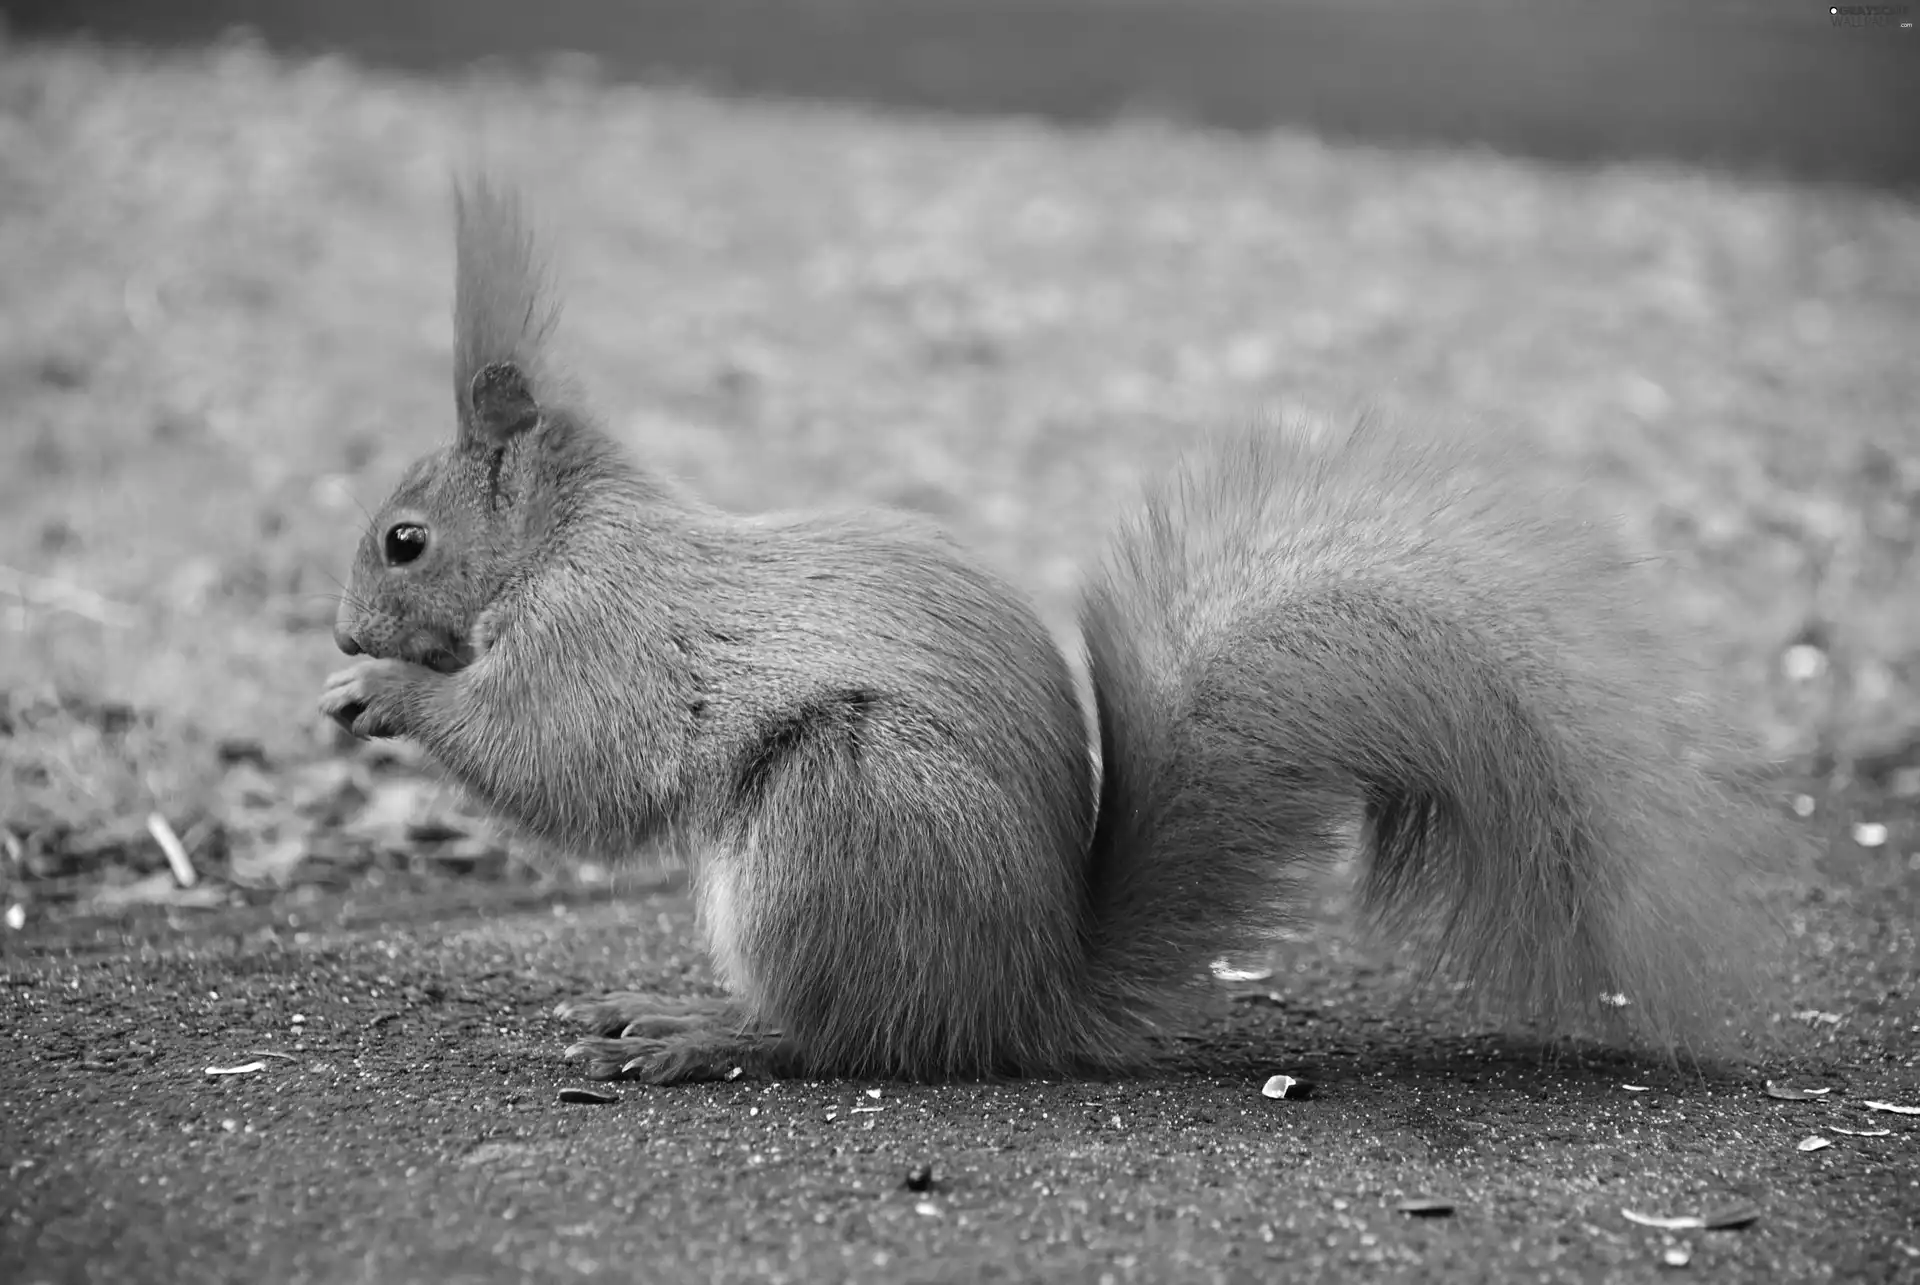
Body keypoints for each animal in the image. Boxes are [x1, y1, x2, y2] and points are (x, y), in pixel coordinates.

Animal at [326, 177, 1781, 1083]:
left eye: (405, 539)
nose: (341, 635)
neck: (562, 538)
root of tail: (1025, 996)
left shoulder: (608, 632)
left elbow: (564, 762)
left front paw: (393, 701)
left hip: (842, 814)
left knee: (847, 1040)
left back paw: (709, 1036)